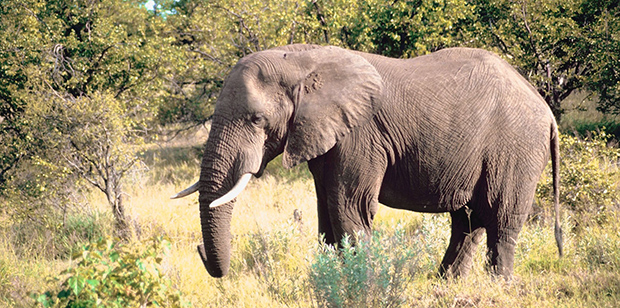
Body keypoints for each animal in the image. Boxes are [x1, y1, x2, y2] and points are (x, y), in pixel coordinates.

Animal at [171, 44, 560, 280]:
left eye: (256, 119)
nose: (200, 252)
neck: (301, 60)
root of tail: (547, 111)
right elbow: (326, 214)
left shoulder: (360, 135)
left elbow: (350, 208)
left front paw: (361, 283)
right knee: (468, 221)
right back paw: (445, 284)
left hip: (516, 147)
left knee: (500, 219)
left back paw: (498, 287)